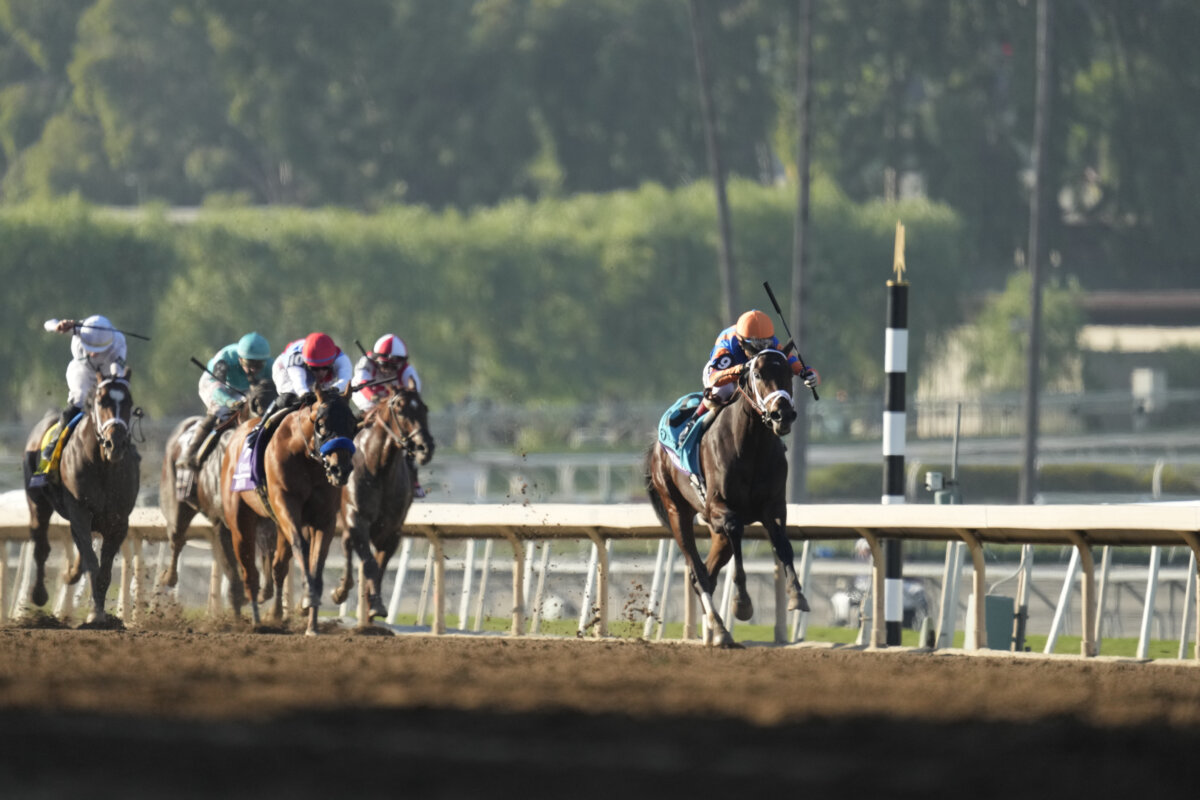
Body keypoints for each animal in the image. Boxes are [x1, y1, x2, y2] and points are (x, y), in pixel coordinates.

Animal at [21, 371, 140, 628]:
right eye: (101, 401)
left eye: (129, 402)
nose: (115, 444)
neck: (104, 466)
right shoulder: (80, 511)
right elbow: (93, 563)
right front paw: (96, 614)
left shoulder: (119, 521)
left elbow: (103, 569)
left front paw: (99, 613)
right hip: (38, 503)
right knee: (41, 545)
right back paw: (39, 593)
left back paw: (71, 573)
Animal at [159, 379, 276, 609]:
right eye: (255, 404)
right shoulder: (222, 524)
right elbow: (233, 572)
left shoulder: (265, 520)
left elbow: (267, 558)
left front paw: (260, 593)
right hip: (176, 503)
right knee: (177, 538)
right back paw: (168, 577)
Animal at [220, 383, 357, 633]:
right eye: (322, 424)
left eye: (353, 423)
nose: (340, 469)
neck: (306, 458)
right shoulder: (286, 506)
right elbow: (301, 546)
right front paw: (308, 597)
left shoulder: (324, 519)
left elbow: (316, 559)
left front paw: (312, 623)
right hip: (240, 522)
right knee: (249, 572)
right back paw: (257, 621)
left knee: (278, 566)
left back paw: (275, 616)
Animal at [331, 383, 434, 618]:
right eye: (401, 410)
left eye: (424, 408)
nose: (425, 447)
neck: (378, 469)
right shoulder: (356, 518)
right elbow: (369, 562)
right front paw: (372, 604)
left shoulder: (391, 529)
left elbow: (379, 565)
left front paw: (375, 604)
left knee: (345, 544)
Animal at [648, 352, 806, 652]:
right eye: (757, 374)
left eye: (789, 373)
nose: (782, 414)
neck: (752, 445)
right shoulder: (719, 509)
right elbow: (736, 533)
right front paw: (742, 603)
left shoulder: (774, 507)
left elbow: (784, 546)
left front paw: (797, 595)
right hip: (677, 511)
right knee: (698, 572)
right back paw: (720, 629)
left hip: (716, 536)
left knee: (706, 575)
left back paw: (716, 629)